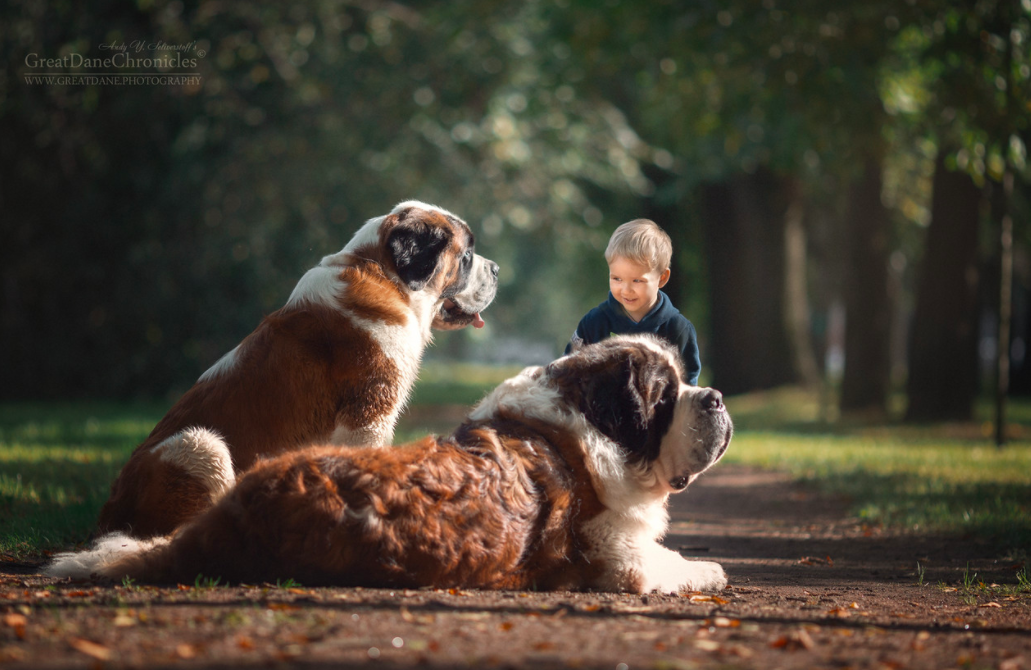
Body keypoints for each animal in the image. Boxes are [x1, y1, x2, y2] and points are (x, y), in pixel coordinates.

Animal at [48, 336, 729, 593]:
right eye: (664, 397)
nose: (716, 397)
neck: (580, 422)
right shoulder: (621, 558)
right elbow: (677, 564)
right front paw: (712, 568)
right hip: (207, 448)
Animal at [96, 197, 499, 536]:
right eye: (467, 256)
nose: (496, 268)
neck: (383, 276)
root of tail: (110, 509)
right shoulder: (367, 416)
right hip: (198, 445)